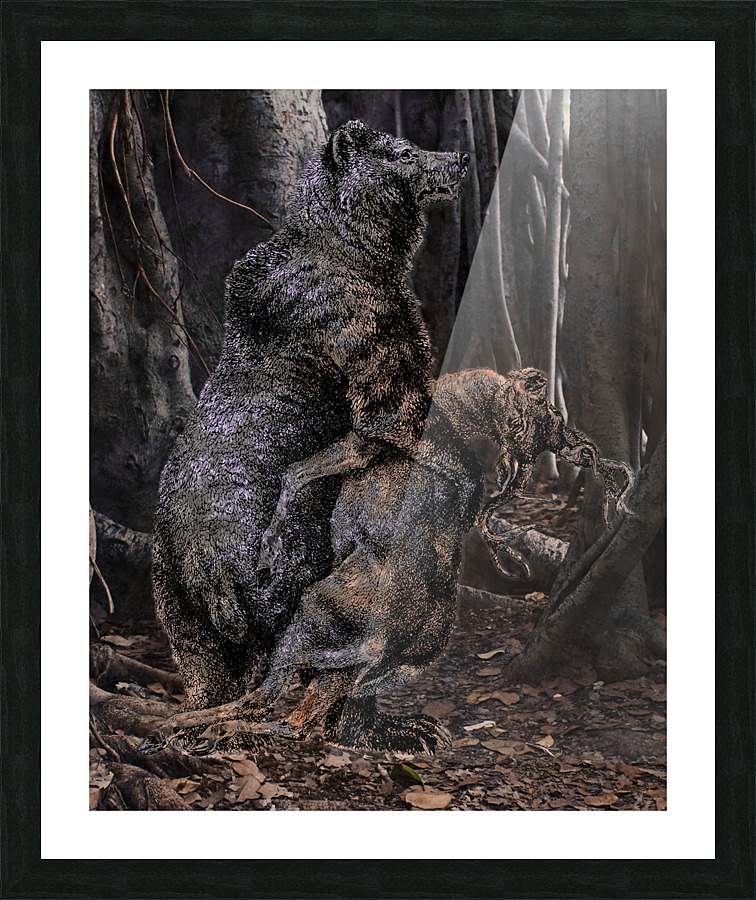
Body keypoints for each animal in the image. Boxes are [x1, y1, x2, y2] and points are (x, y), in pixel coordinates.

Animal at [141, 368, 634, 756]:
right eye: (552, 412)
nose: (582, 448)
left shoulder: (358, 448)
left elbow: (295, 475)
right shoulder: (360, 449)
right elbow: (294, 477)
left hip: (339, 635)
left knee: (293, 707)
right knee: (305, 706)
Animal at [152, 119, 470, 712]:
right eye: (404, 152)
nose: (459, 157)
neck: (360, 248)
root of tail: (198, 566)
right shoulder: (358, 317)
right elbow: (390, 410)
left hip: (172, 595)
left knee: (206, 662)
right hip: (248, 559)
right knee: (292, 603)